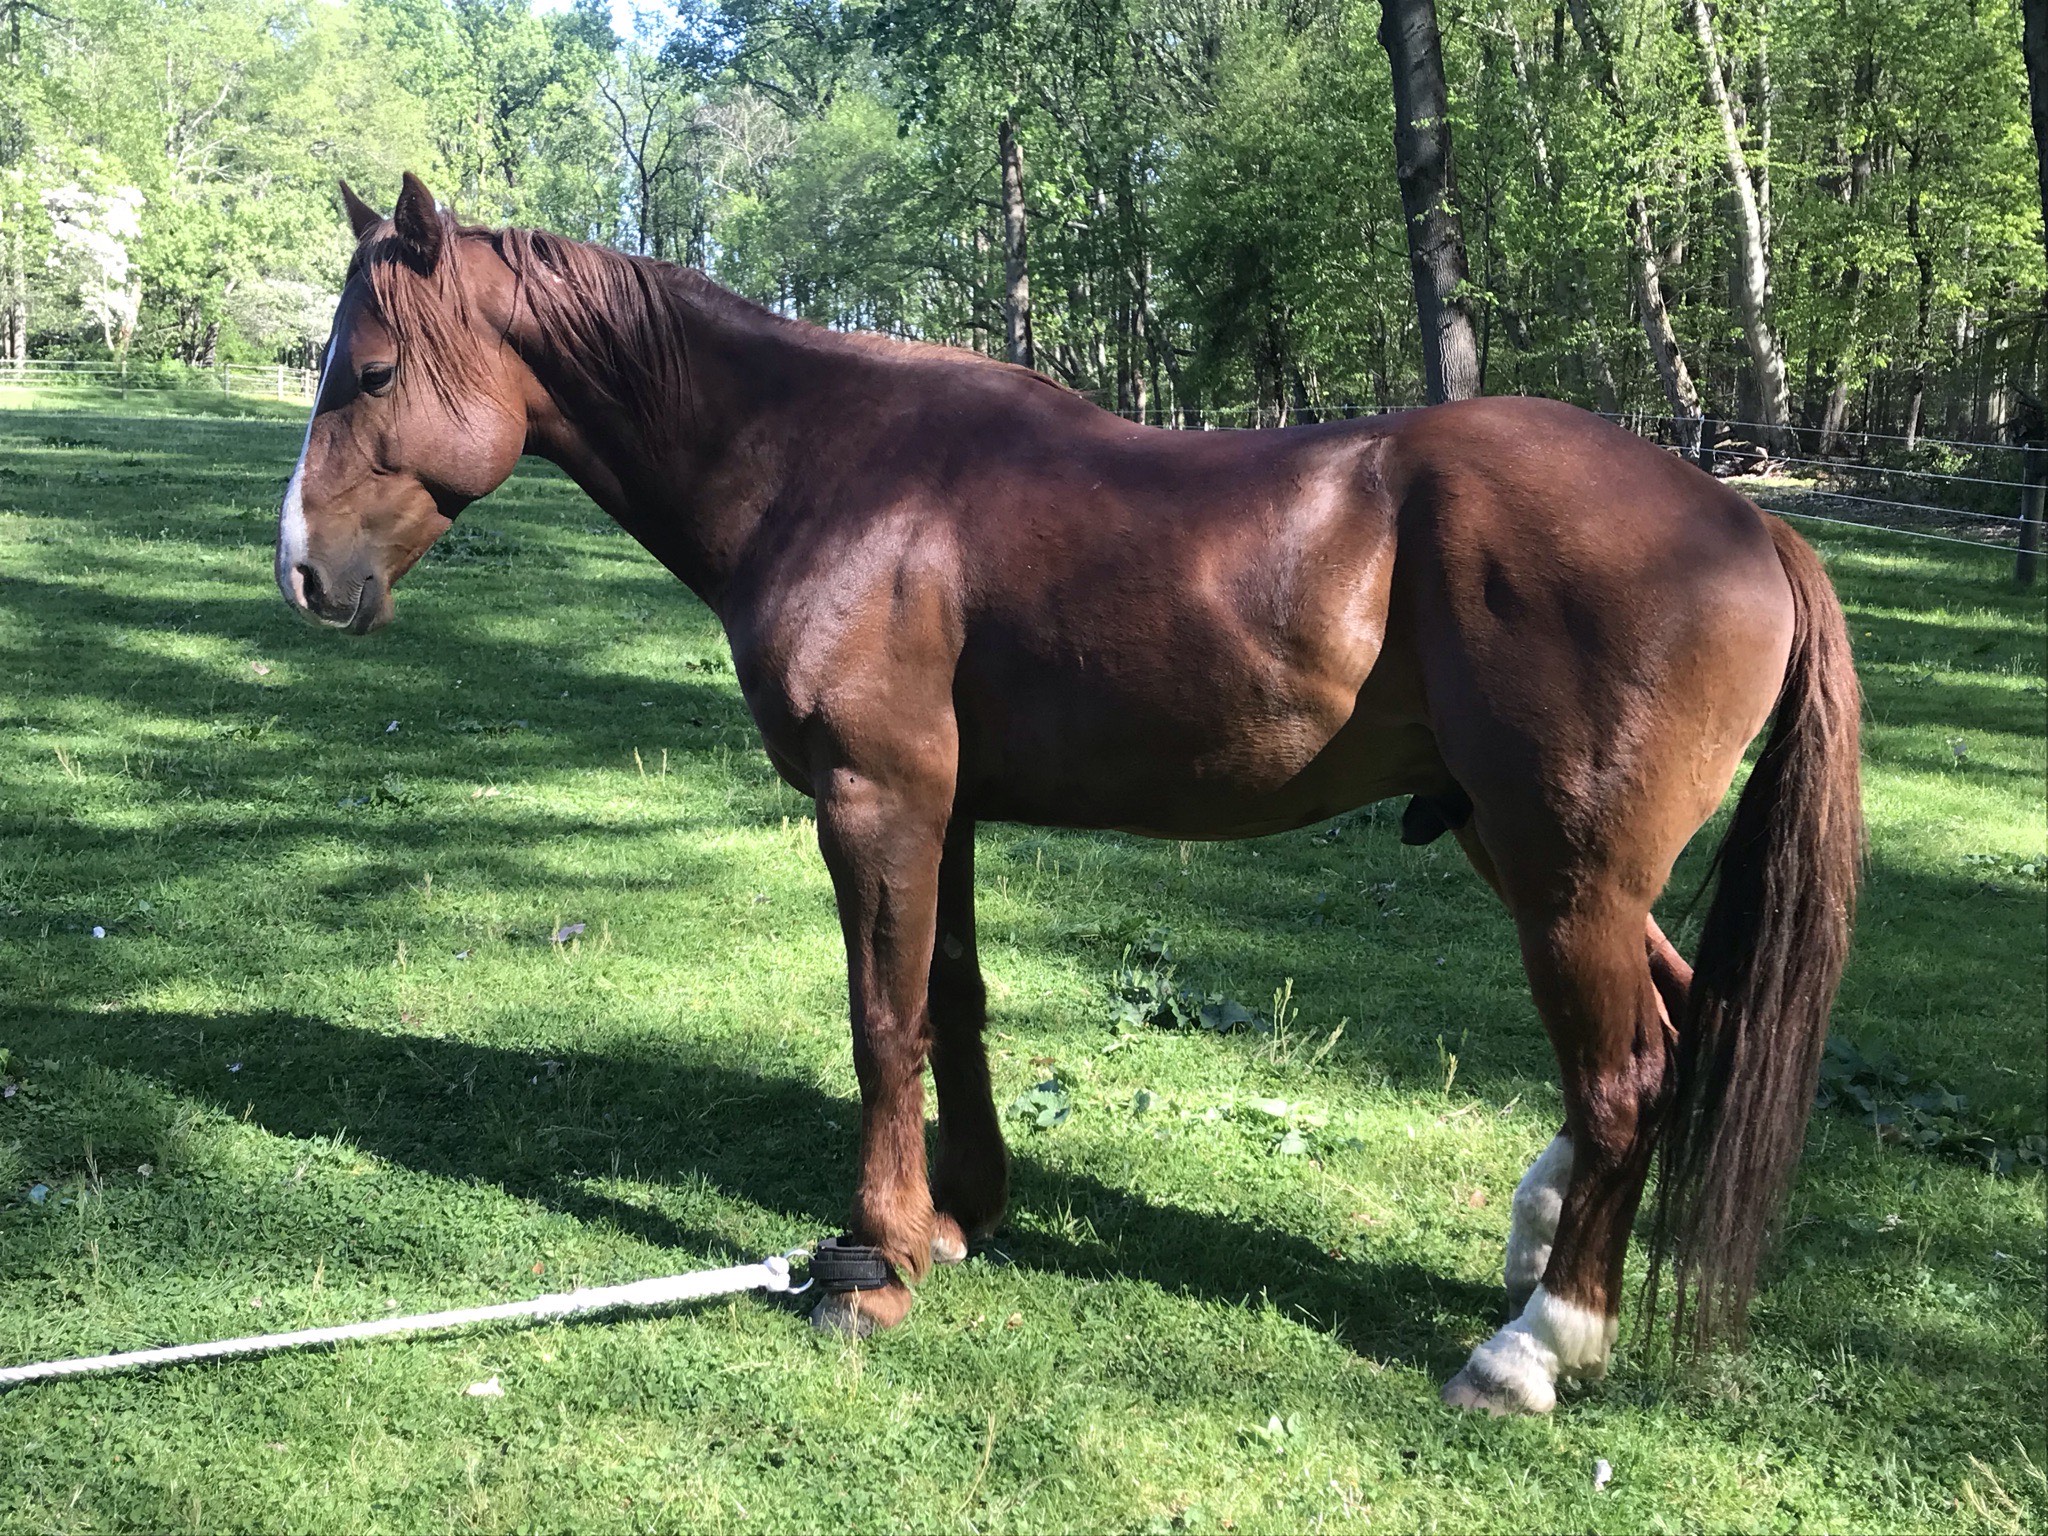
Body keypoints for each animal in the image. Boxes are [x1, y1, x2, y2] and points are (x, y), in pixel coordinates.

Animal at [280, 180, 1867, 1417]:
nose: (302, 572)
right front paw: (960, 1214)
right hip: (1539, 861)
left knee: (1627, 1076)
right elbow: (952, 1001)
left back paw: (1536, 1347)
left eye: (370, 373)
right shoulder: (945, 809)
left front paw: (874, 1267)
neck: (828, 464)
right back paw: (1538, 1253)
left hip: (1564, 877)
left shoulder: (873, 800)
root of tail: (1750, 523)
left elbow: (881, 1020)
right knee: (1674, 1029)